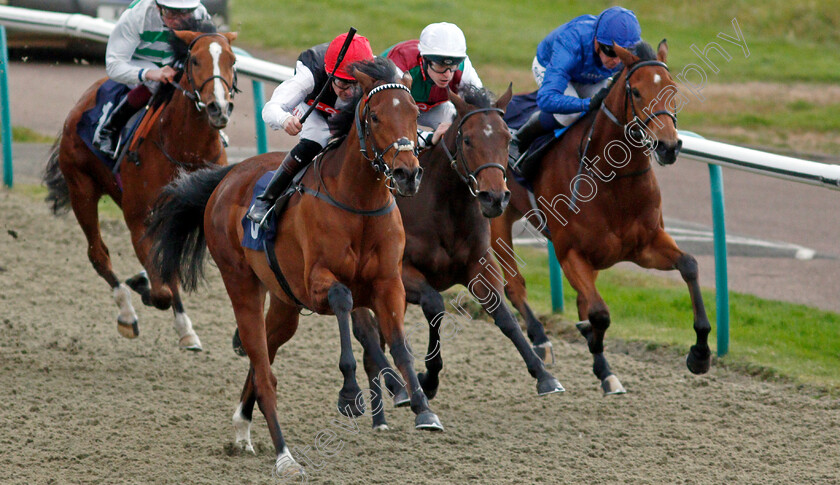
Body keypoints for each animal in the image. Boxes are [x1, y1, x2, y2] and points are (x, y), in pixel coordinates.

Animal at [44, 26, 238, 350]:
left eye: (232, 61)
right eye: (195, 61)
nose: (219, 108)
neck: (184, 150)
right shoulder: (139, 221)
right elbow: (162, 291)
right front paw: (149, 292)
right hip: (82, 189)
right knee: (98, 254)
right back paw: (127, 313)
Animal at [147, 57, 440, 476]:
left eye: (415, 114)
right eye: (376, 117)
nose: (407, 174)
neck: (359, 203)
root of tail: (228, 177)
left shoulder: (388, 284)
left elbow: (399, 344)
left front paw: (420, 405)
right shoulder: (316, 283)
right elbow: (343, 299)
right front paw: (349, 393)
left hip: (284, 304)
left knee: (264, 358)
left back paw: (242, 429)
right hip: (242, 285)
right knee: (264, 369)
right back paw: (284, 456)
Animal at [348, 85, 564, 430]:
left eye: (507, 138)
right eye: (468, 140)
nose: (494, 197)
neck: (444, 207)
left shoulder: (480, 265)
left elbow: (503, 315)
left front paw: (543, 374)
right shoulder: (402, 273)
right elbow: (435, 305)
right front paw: (428, 379)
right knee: (367, 334)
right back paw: (394, 393)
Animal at [488, 41, 712, 396]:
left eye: (673, 89)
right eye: (636, 91)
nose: (668, 146)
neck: (614, 181)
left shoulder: (646, 246)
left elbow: (689, 265)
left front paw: (700, 354)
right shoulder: (571, 254)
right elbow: (599, 313)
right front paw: (600, 361)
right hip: (497, 218)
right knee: (515, 286)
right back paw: (541, 340)